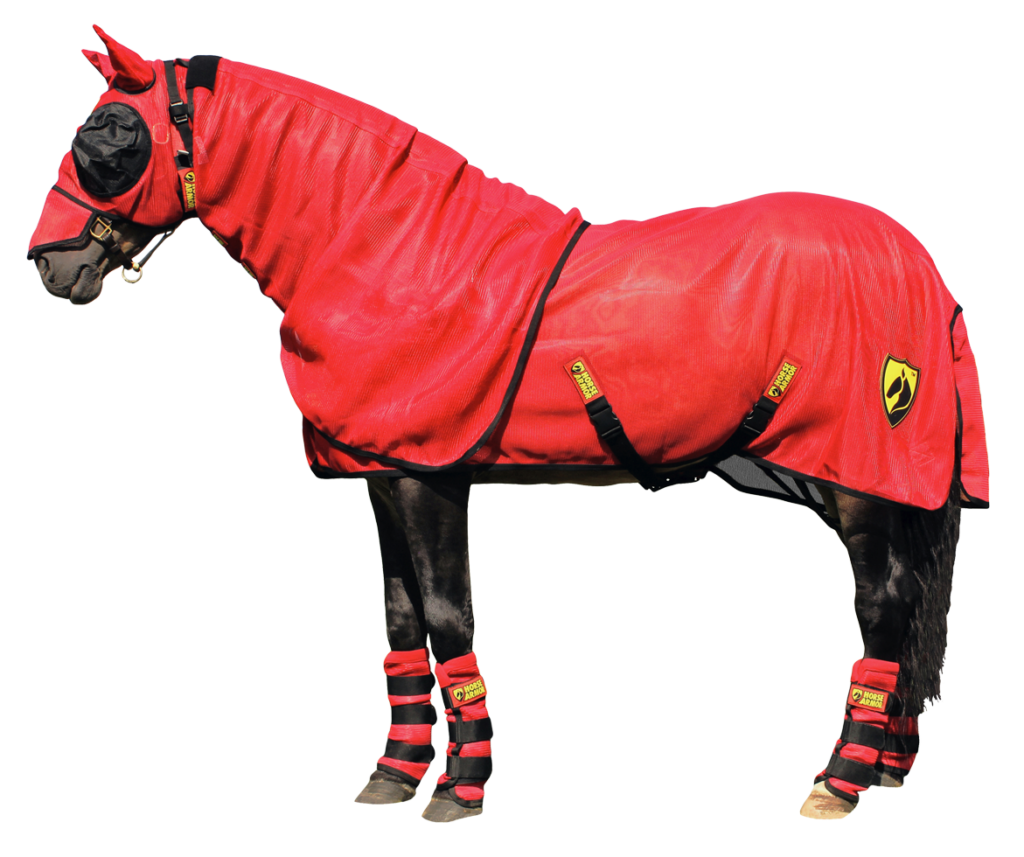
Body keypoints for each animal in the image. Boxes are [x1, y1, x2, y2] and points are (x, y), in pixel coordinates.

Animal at [28, 26, 988, 823]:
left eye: (108, 134)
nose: (50, 265)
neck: (393, 251)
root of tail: (919, 264)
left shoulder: (430, 478)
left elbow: (449, 616)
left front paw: (460, 787)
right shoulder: (383, 472)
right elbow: (401, 619)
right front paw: (394, 772)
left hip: (854, 474)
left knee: (886, 604)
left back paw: (841, 781)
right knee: (910, 606)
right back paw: (887, 766)